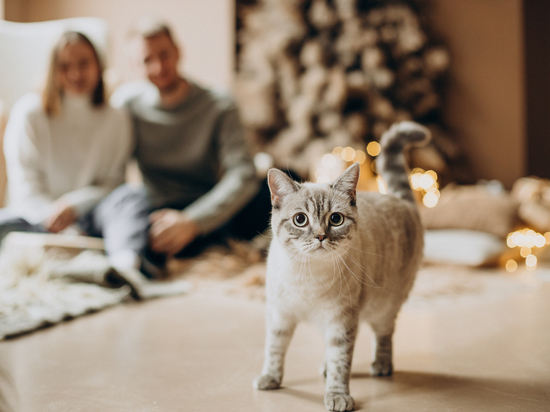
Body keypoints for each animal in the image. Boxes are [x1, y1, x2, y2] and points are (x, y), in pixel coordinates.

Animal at [254, 120, 432, 410]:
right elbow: (274, 349)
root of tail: (400, 199)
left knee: (384, 335)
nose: (320, 236)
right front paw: (270, 379)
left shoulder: (341, 319)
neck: (307, 276)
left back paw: (381, 365)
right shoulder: (279, 314)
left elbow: (341, 362)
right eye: (300, 220)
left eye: (335, 219)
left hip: (384, 307)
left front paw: (338, 396)